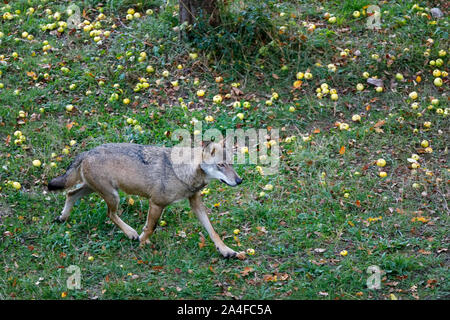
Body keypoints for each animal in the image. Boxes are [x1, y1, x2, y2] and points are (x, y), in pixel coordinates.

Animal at [47, 139, 244, 258]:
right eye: (221, 165)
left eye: (231, 164)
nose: (239, 181)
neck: (183, 171)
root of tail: (87, 152)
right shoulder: (156, 203)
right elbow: (150, 228)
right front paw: (142, 242)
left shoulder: (195, 203)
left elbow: (212, 231)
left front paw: (226, 250)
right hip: (113, 196)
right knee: (110, 214)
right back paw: (131, 233)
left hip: (93, 189)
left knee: (70, 194)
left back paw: (63, 217)